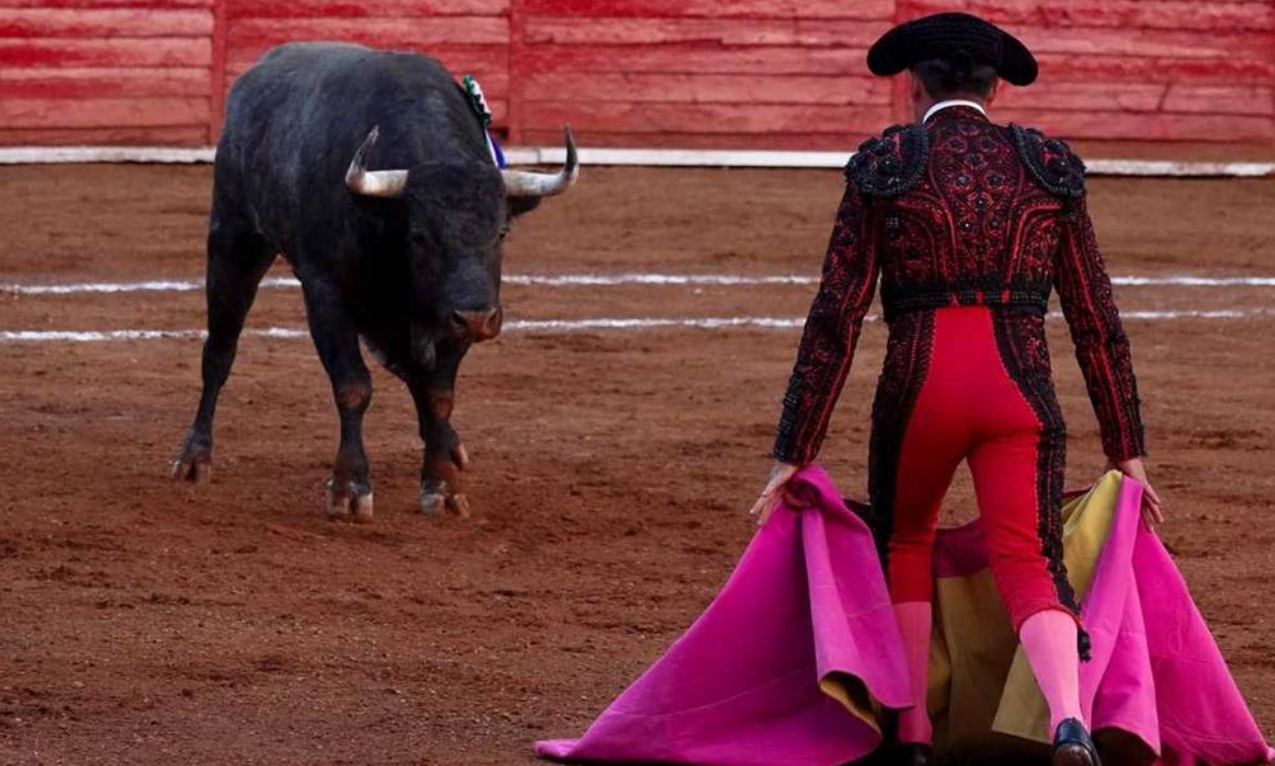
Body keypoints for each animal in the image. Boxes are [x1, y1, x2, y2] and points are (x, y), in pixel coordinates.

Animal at [171, 42, 578, 522]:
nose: (478, 319)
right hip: (235, 238)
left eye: (501, 231)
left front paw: (442, 484)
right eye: (419, 236)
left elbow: (438, 394)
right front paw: (349, 488)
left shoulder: (446, 316)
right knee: (219, 351)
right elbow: (353, 387)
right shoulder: (327, 294)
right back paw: (194, 458)